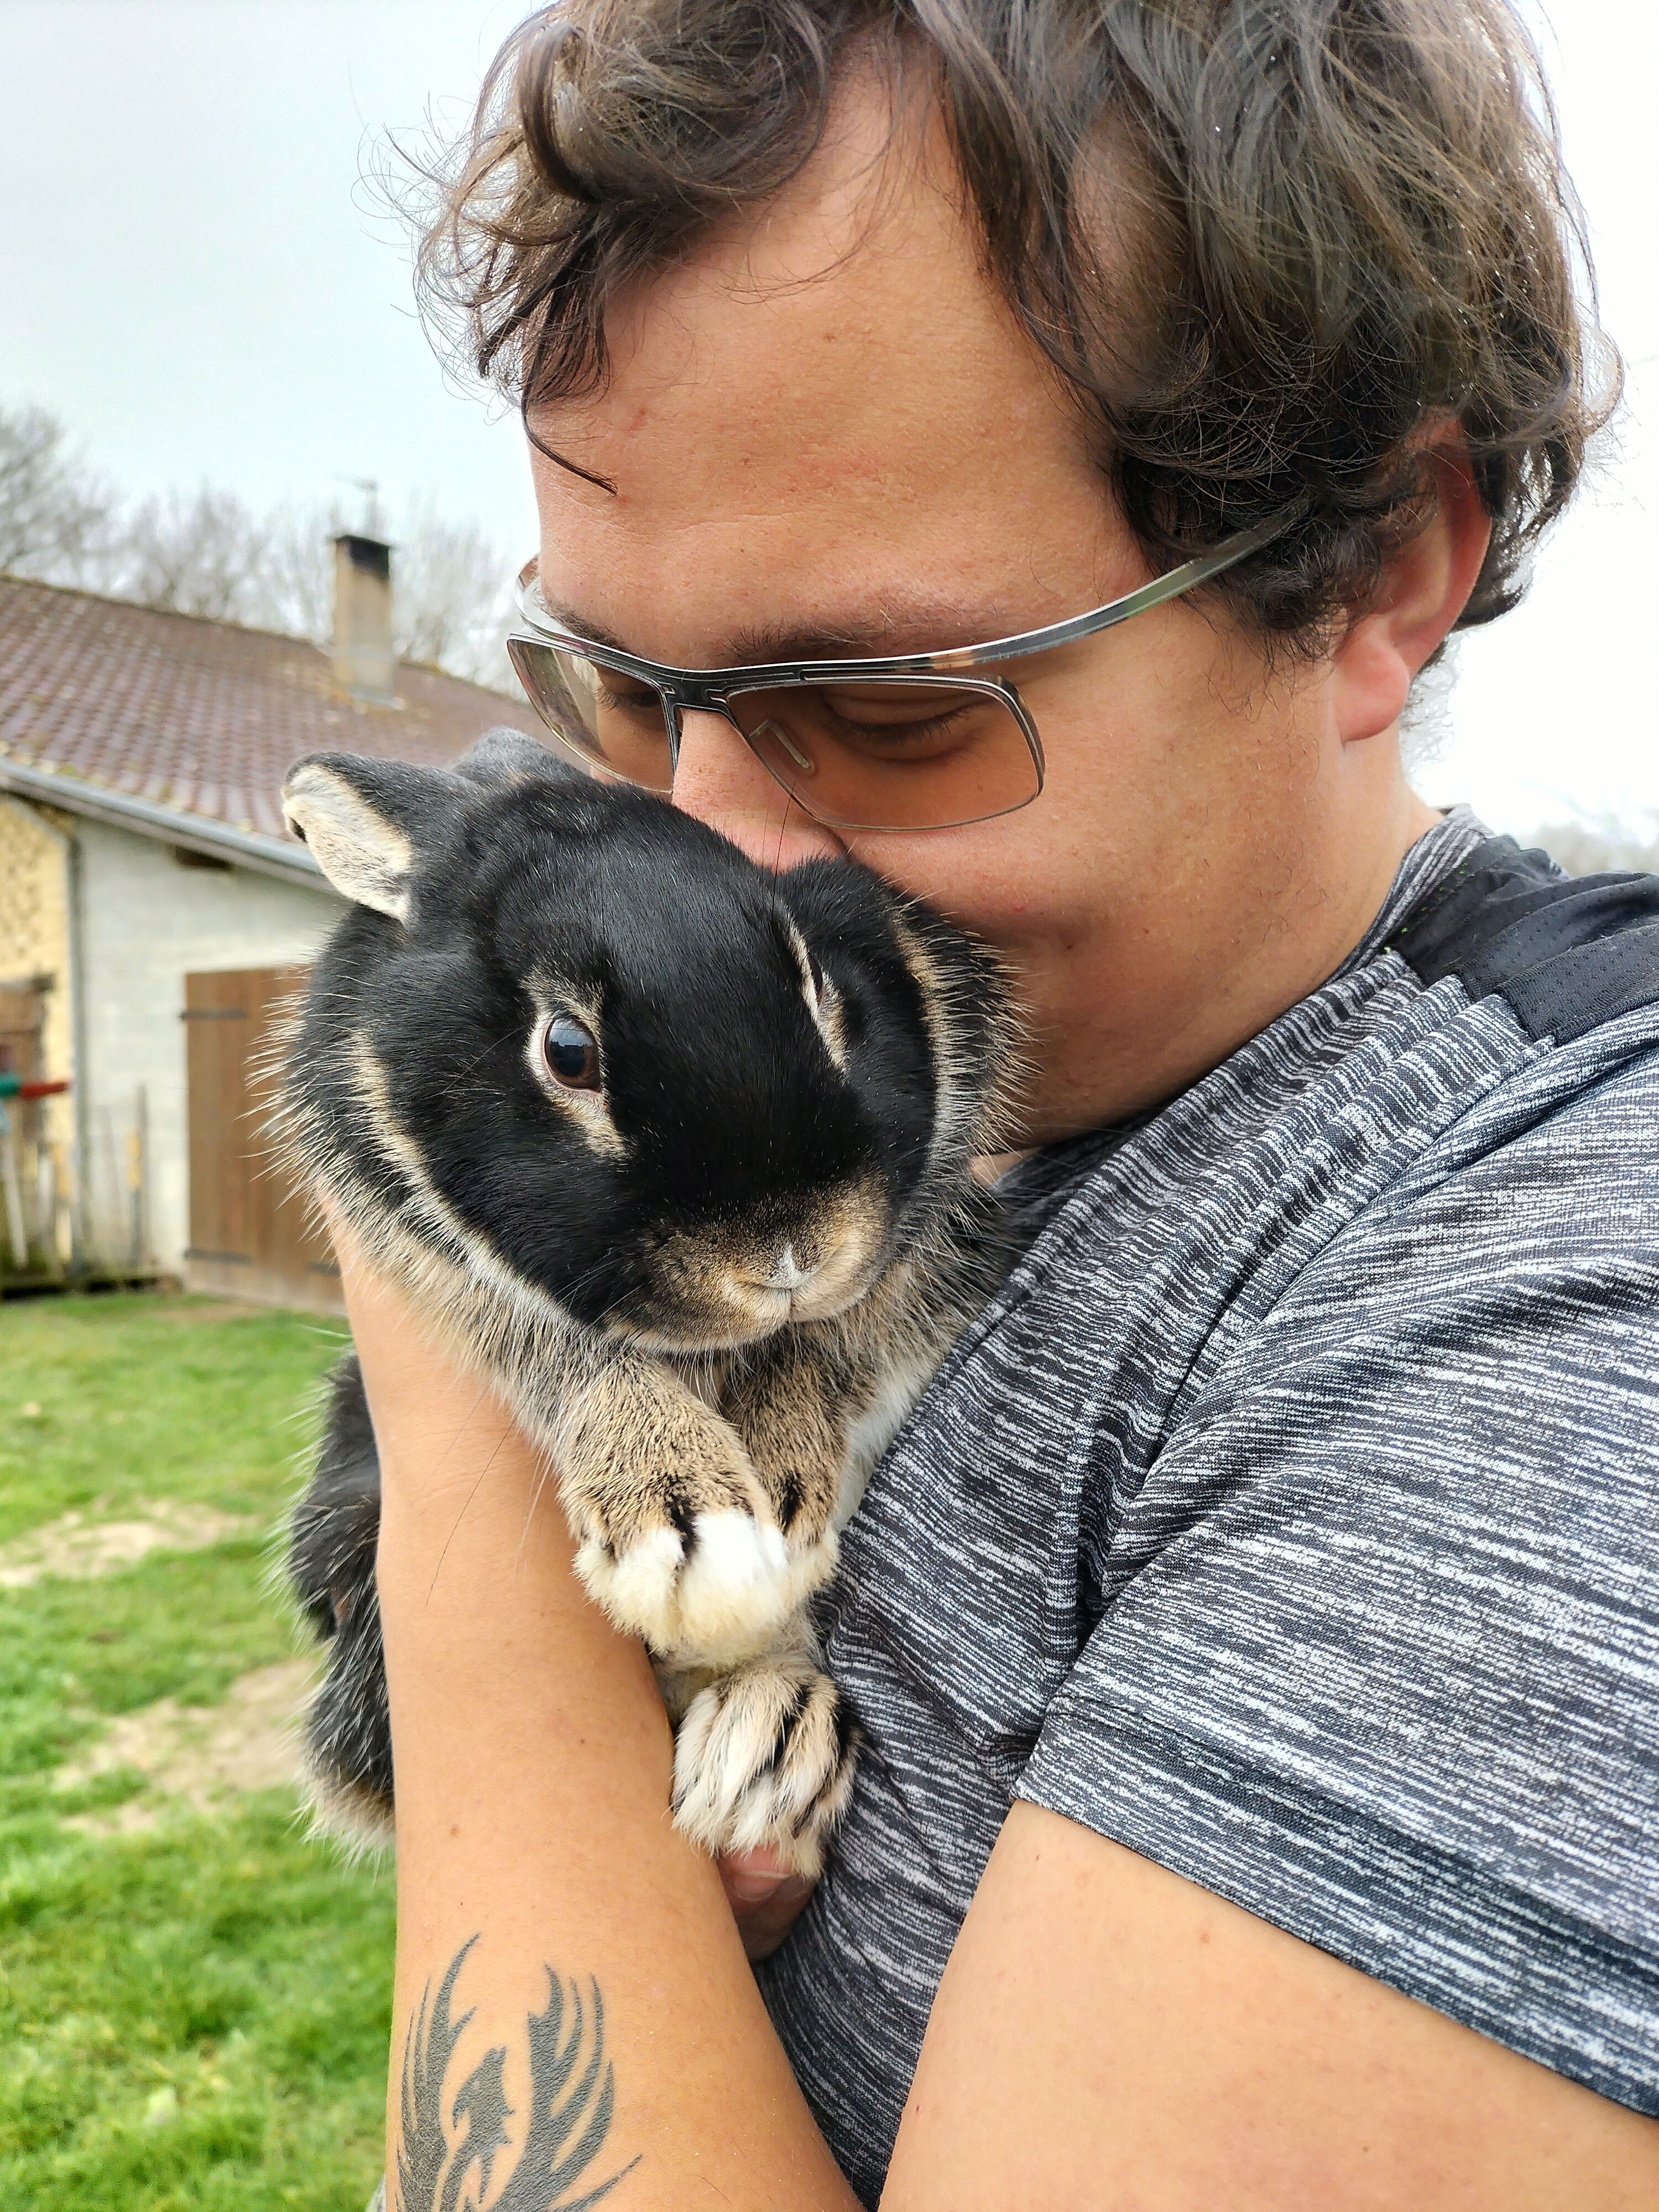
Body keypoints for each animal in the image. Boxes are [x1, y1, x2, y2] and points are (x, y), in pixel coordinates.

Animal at [276, 734, 1013, 1876]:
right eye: (566, 1049)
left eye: (821, 990)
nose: (789, 1253)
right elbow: (573, 1358)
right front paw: (695, 1535)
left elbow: (825, 1342)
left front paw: (778, 1486)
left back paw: (767, 1743)